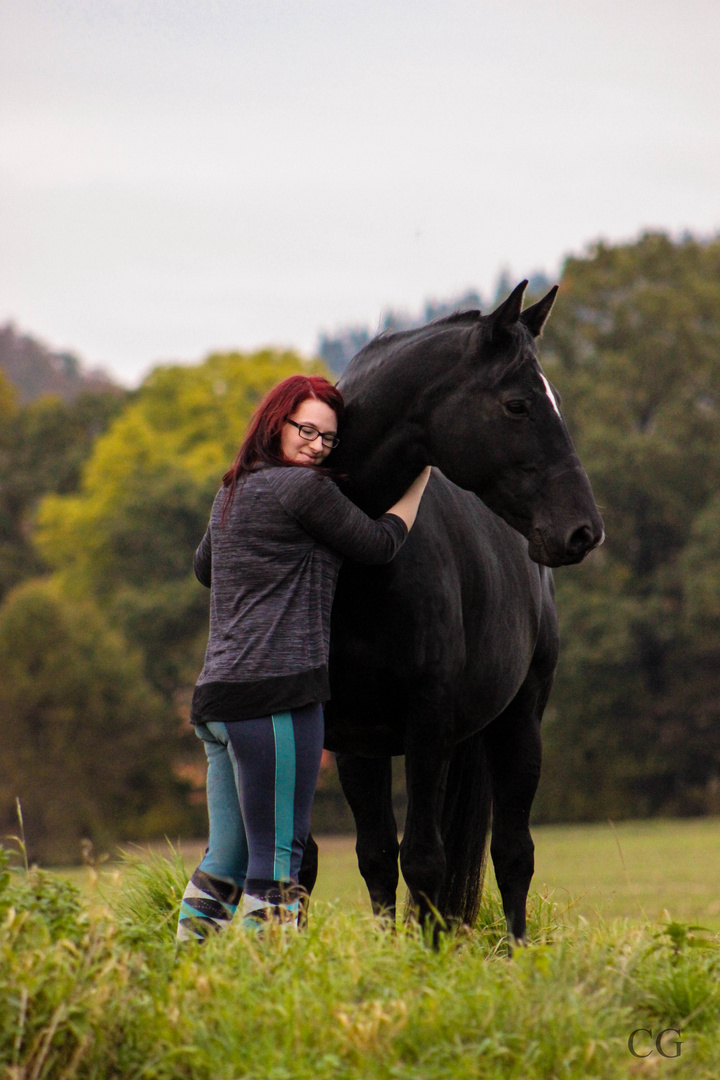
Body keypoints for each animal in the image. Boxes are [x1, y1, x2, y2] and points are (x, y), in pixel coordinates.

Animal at [300, 282, 604, 941]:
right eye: (518, 406)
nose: (583, 531)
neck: (360, 570)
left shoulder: (429, 727)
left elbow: (424, 860)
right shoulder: (338, 735)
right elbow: (346, 856)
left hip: (519, 723)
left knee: (513, 853)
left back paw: (516, 951)